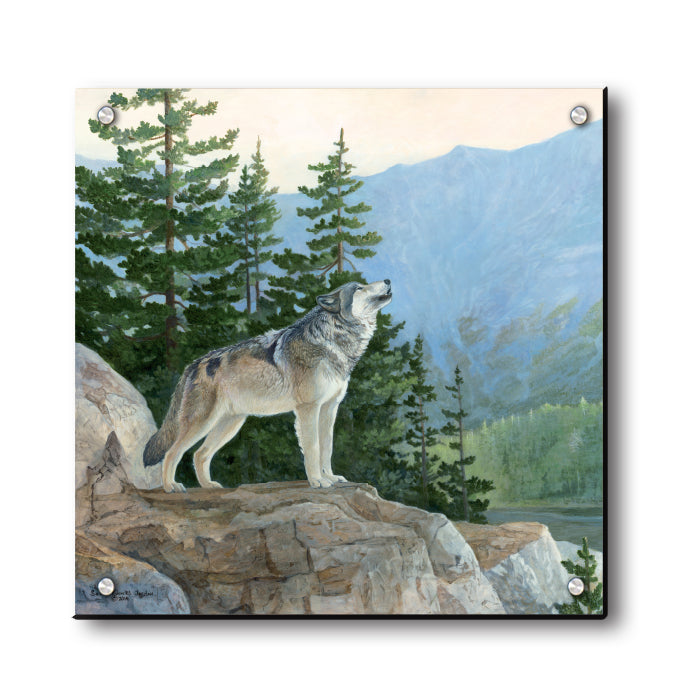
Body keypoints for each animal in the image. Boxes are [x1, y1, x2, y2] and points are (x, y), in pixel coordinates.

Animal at [143, 280, 393, 492]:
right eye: (359, 288)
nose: (388, 280)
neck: (334, 341)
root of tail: (193, 364)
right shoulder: (308, 409)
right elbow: (313, 449)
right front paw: (317, 481)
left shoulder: (330, 408)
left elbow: (327, 448)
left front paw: (330, 477)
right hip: (202, 422)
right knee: (172, 453)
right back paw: (170, 487)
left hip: (230, 425)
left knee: (199, 454)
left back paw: (209, 486)